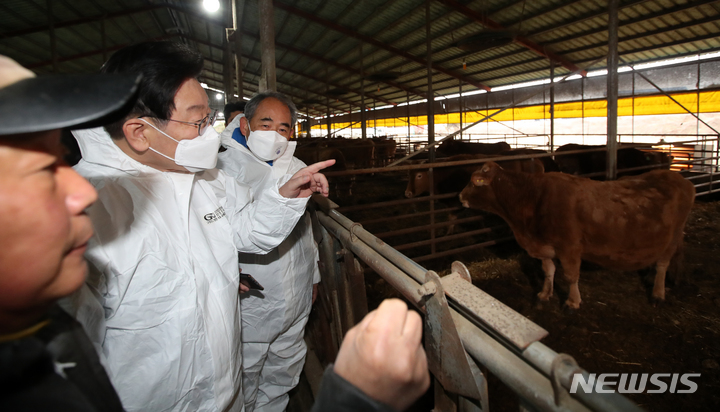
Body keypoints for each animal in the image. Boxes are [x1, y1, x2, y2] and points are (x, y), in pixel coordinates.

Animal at [458, 162, 696, 308]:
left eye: (475, 181)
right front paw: (544, 295)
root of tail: (681, 179)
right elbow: (548, 271)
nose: (460, 196)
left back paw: (658, 293)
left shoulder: (569, 246)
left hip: (673, 236)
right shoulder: (545, 245)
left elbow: (571, 275)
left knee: (663, 263)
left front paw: (572, 302)